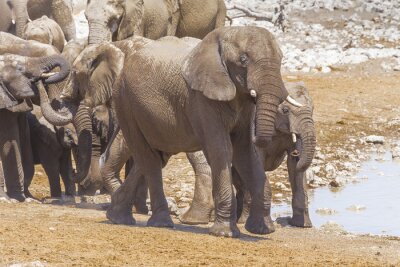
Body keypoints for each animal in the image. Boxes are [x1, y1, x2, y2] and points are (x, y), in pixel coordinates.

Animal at [0, 53, 71, 202]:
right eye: (20, 69)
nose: (38, 80)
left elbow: (20, 140)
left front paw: (25, 198)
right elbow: (9, 141)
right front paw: (12, 199)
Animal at [58, 26, 304, 238]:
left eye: (281, 60)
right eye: (243, 60)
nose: (292, 151)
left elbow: (245, 152)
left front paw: (262, 230)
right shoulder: (201, 99)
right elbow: (221, 150)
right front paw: (225, 234)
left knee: (154, 157)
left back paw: (118, 217)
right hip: (127, 102)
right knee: (149, 158)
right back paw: (159, 223)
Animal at [180, 82, 318, 228]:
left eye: (313, 109)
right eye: (285, 110)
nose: (296, 153)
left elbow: (293, 167)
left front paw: (302, 225)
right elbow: (256, 162)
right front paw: (248, 222)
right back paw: (194, 220)